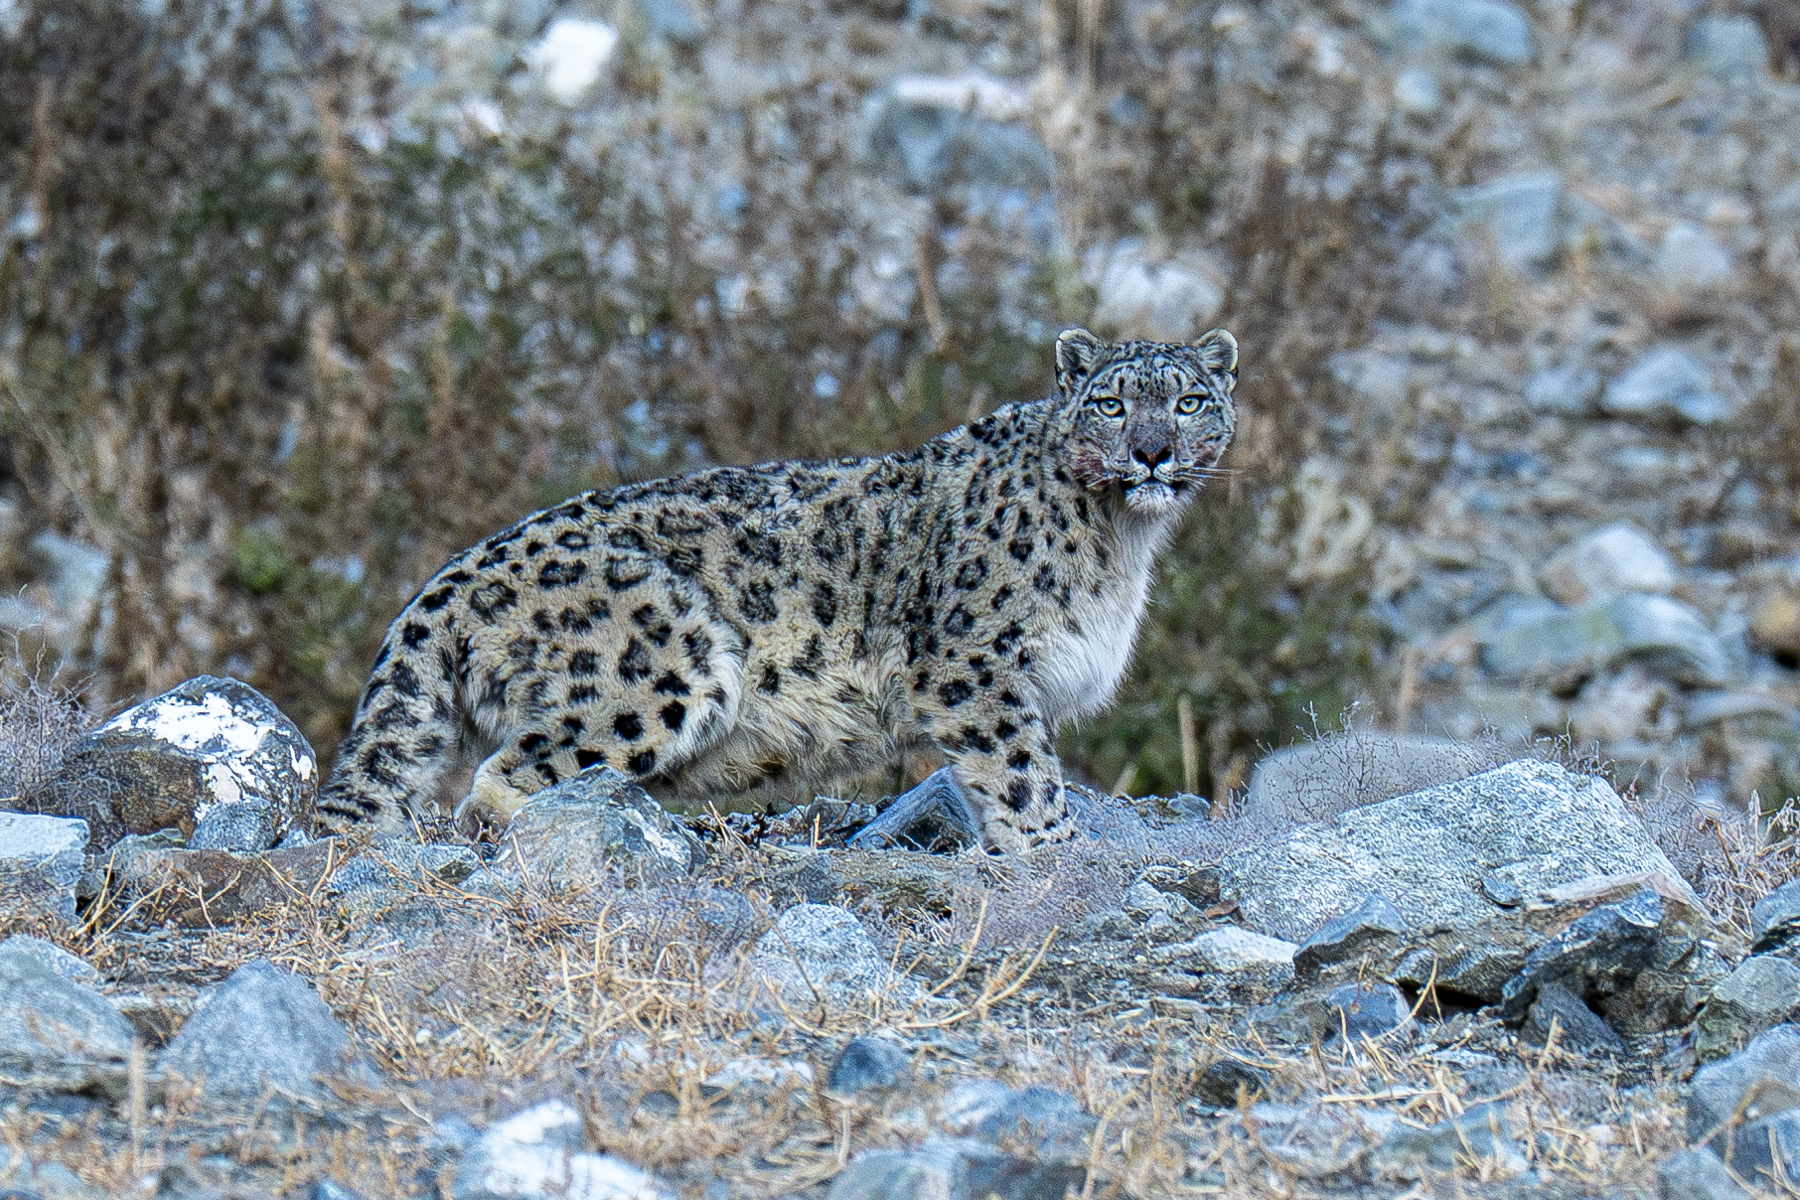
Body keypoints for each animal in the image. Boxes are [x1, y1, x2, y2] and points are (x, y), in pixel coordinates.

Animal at [317, 327, 1239, 853]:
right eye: (1111, 403)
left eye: (1192, 401)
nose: (1152, 452)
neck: (1123, 545)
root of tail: (441, 584)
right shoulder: (974, 669)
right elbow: (1021, 772)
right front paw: (1059, 853)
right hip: (666, 665)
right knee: (508, 777)